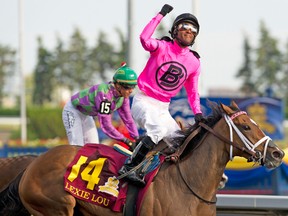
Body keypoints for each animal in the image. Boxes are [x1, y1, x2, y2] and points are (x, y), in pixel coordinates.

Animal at [0, 101, 284, 216]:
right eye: (246, 126)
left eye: (256, 124)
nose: (277, 153)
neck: (190, 185)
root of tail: (31, 165)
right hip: (56, 207)